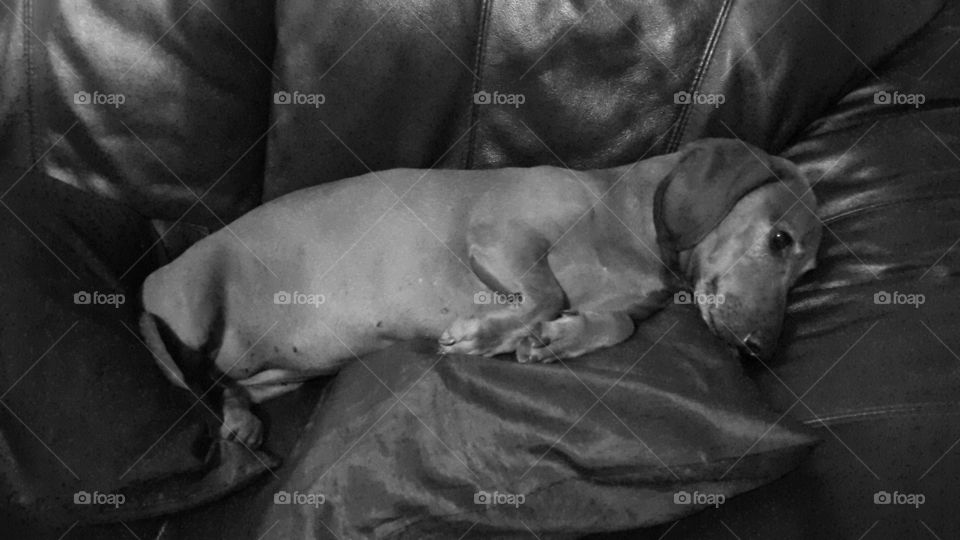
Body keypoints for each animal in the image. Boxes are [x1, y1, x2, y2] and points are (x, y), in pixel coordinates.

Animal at [139, 138, 820, 448]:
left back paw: (239, 419)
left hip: (284, 375)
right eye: (779, 238)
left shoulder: (617, 306)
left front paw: (554, 341)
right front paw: (486, 335)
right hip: (195, 304)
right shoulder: (501, 237)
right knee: (187, 366)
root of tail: (151, 280)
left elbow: (614, 323)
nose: (761, 350)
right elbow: (544, 293)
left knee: (227, 386)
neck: (623, 222)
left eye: (808, 273)